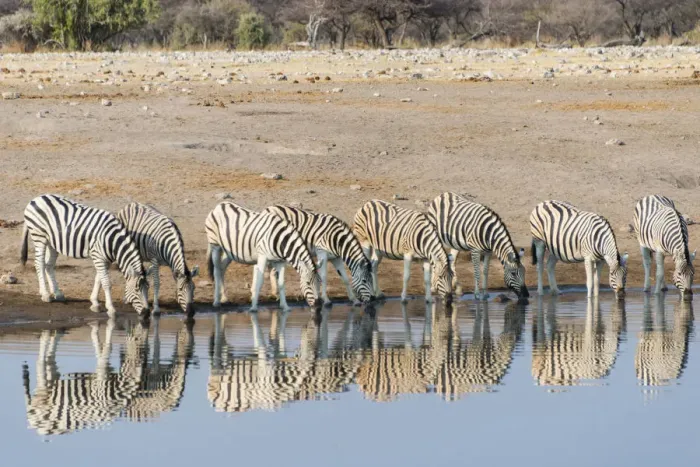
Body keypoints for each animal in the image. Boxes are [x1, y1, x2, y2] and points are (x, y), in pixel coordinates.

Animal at [21, 194, 149, 315]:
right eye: (137, 290)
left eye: (148, 288)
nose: (146, 313)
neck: (112, 240)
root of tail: (36, 198)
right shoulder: (98, 256)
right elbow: (106, 283)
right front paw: (111, 308)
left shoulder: (106, 260)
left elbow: (98, 279)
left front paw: (95, 303)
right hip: (39, 236)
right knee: (39, 263)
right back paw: (45, 294)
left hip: (52, 241)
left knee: (49, 265)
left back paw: (57, 293)